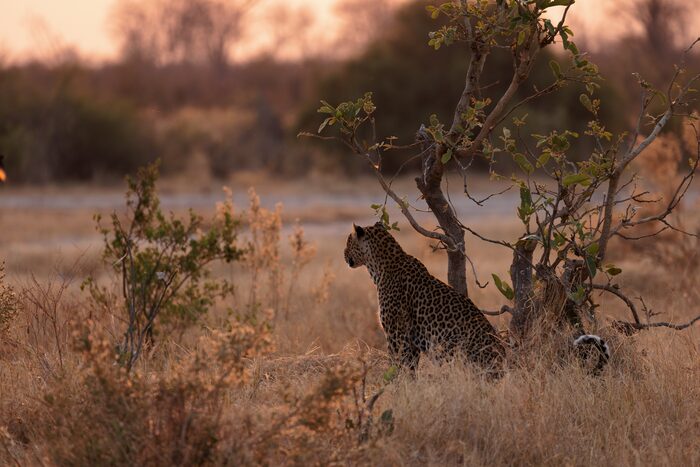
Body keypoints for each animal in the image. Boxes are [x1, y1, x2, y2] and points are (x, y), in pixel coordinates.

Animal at [344, 222, 505, 373]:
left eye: (348, 242)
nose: (343, 254)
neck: (379, 267)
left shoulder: (396, 333)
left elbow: (397, 365)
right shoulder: (411, 340)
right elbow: (410, 368)